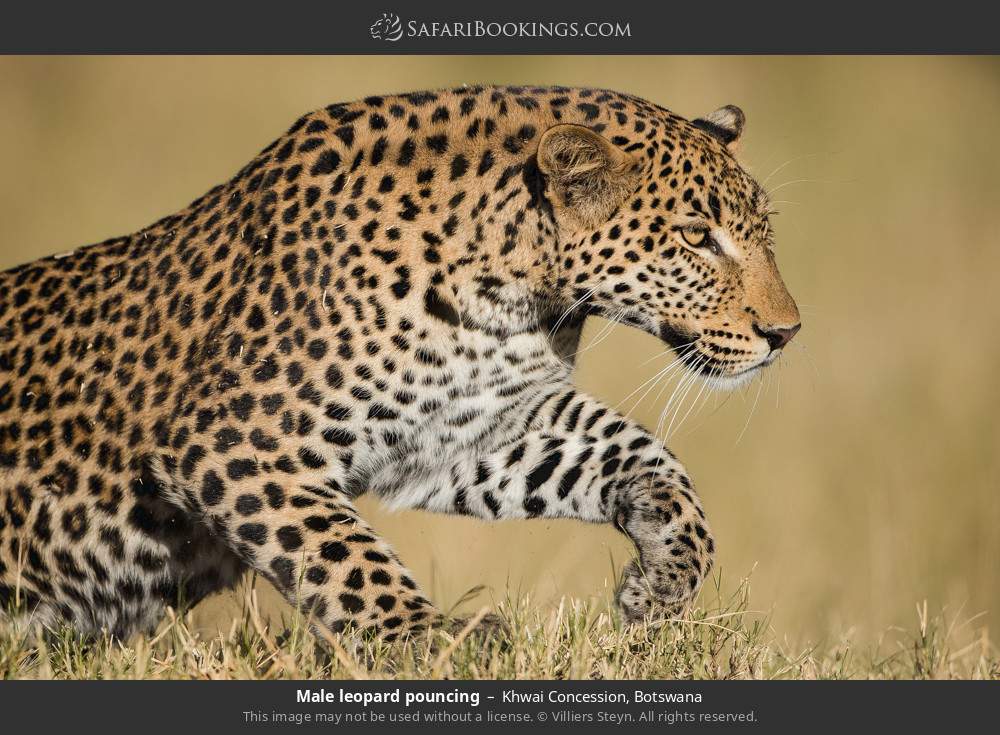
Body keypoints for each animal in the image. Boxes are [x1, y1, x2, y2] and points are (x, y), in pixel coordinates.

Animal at [0, 85, 800, 644]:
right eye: (695, 237)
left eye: (764, 231)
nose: (785, 332)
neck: (517, 293)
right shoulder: (235, 442)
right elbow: (344, 553)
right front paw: (428, 637)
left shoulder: (474, 432)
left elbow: (643, 455)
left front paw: (661, 580)